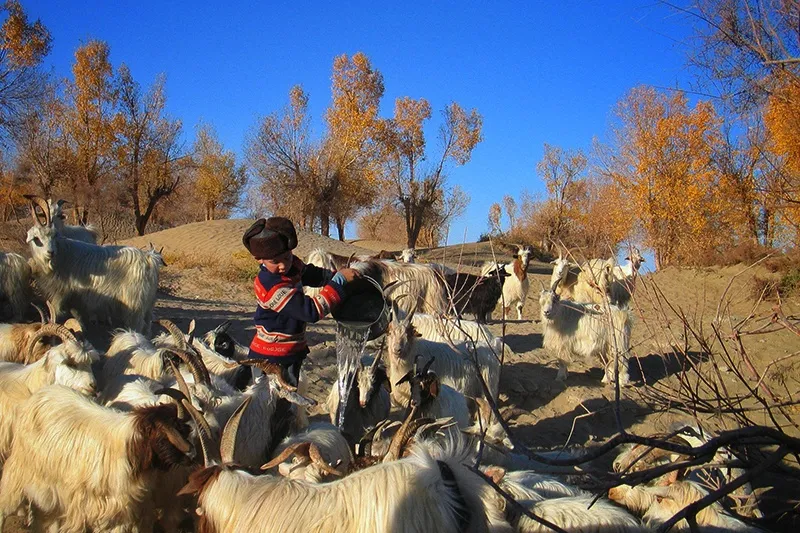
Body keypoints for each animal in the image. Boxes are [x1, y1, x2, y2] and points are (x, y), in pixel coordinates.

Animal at [0, 384, 194, 528]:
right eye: (162, 438)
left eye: (184, 430)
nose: (191, 455)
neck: (128, 448)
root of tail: (34, 397)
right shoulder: (82, 507)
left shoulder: (122, 512)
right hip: (19, 473)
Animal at [25, 194, 162, 332]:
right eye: (36, 238)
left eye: (54, 236)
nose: (50, 252)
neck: (61, 253)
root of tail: (149, 259)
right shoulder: (75, 299)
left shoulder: (60, 295)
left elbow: (57, 314)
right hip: (148, 307)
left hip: (135, 307)